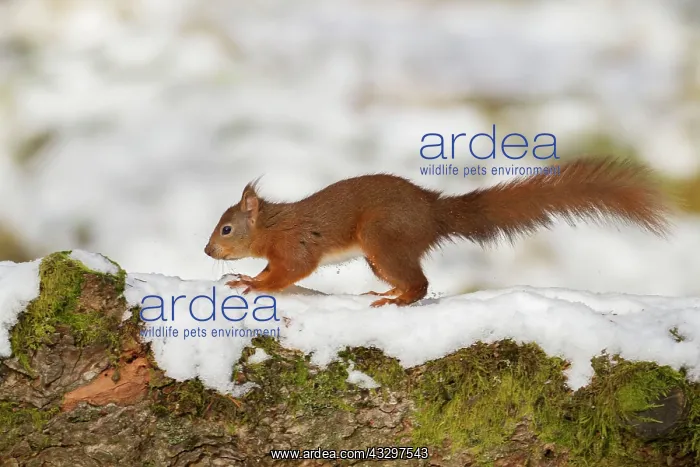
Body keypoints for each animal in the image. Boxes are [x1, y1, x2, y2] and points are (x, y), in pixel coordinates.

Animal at [204, 157, 671, 307]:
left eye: (226, 228)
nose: (208, 251)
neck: (271, 225)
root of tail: (433, 212)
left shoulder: (295, 246)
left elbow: (288, 272)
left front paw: (252, 284)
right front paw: (246, 277)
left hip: (382, 238)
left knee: (422, 284)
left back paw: (396, 301)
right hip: (378, 255)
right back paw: (389, 293)